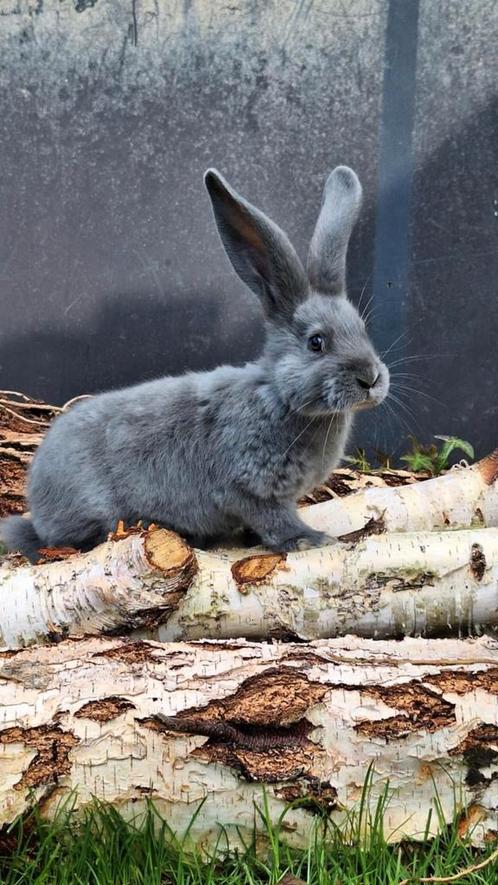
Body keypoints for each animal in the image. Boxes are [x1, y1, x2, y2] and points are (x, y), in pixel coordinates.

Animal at [0, 163, 390, 564]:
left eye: (362, 329)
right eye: (316, 343)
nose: (371, 378)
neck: (276, 396)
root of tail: (36, 503)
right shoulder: (250, 489)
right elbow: (274, 520)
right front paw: (309, 540)